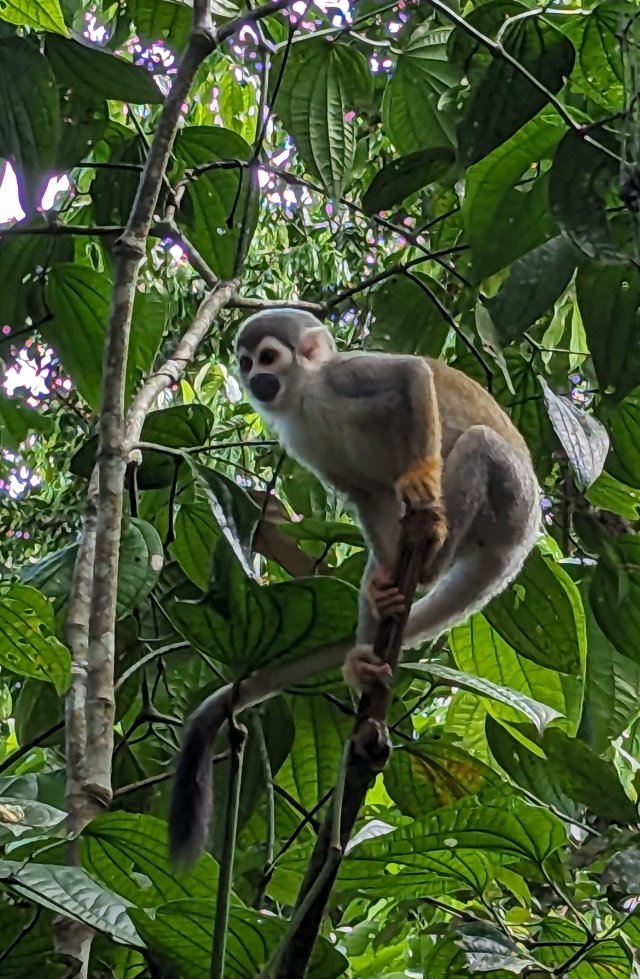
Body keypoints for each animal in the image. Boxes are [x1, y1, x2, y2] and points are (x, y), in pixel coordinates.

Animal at [169, 308, 540, 864]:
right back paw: (369, 653)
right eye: (246, 361)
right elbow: (367, 494)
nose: (256, 379)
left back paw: (430, 556)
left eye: (270, 357)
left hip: (511, 502)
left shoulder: (344, 376)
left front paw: (420, 476)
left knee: (478, 443)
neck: (304, 398)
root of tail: (519, 546)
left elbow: (411, 375)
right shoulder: (303, 441)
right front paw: (383, 580)